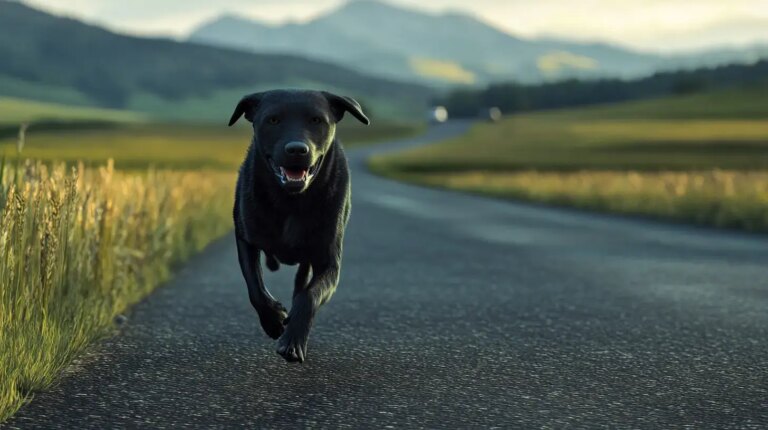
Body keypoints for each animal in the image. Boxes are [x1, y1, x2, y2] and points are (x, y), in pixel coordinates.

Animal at [226, 90, 368, 362]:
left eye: (316, 120)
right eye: (273, 120)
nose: (296, 149)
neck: (291, 200)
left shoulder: (329, 261)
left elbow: (309, 296)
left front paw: (293, 341)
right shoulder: (245, 237)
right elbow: (255, 286)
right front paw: (273, 320)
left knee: (302, 283)